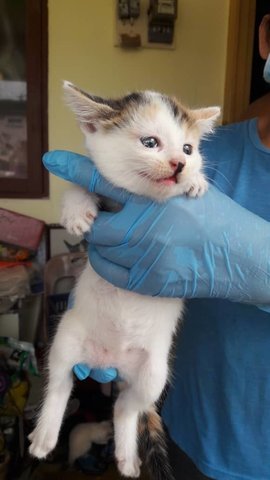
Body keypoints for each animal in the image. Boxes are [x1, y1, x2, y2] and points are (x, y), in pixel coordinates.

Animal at [29, 81, 219, 476]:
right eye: (150, 142)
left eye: (189, 148)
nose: (180, 165)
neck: (138, 198)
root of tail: (110, 364)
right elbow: (79, 187)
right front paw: (77, 211)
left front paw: (197, 180)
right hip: (67, 338)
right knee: (60, 384)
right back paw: (45, 438)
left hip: (154, 373)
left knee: (127, 407)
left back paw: (128, 457)